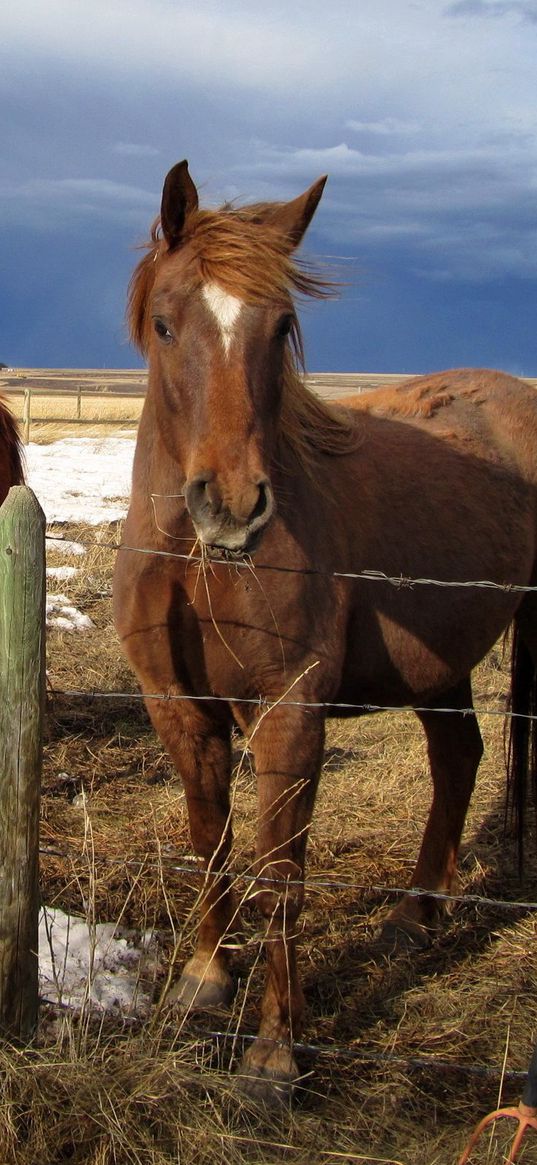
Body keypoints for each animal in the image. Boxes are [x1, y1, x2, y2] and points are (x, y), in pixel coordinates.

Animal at [112, 159, 535, 1104]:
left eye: (281, 328)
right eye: (165, 323)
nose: (233, 506)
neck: (194, 557)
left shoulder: (289, 711)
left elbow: (282, 873)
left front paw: (274, 1052)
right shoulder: (177, 705)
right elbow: (210, 841)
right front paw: (203, 977)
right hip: (440, 663)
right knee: (457, 760)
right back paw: (413, 916)